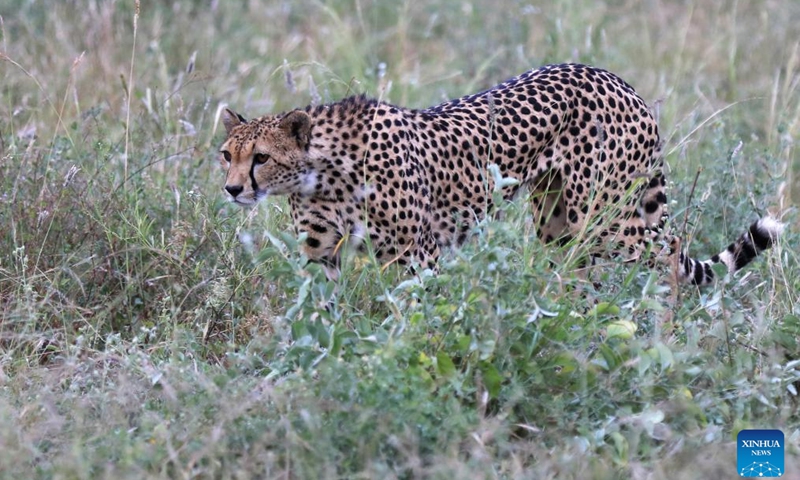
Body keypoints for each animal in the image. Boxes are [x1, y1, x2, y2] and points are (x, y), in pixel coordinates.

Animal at [219, 63, 783, 286]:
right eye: (227, 155)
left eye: (260, 157)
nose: (232, 188)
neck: (321, 173)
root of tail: (614, 77)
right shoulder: (322, 257)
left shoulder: (415, 256)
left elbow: (414, 319)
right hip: (558, 221)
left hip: (609, 218)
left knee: (662, 261)